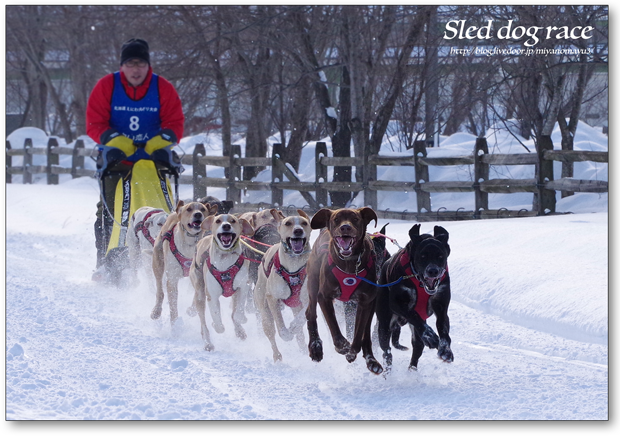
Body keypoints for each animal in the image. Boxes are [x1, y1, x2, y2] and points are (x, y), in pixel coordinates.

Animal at [190, 212, 256, 350]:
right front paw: (217, 326)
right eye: (218, 221)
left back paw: (239, 330)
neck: (225, 259)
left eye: (233, 221)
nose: (226, 226)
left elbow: (237, 313)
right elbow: (216, 317)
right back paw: (208, 343)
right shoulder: (212, 295)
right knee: (203, 323)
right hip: (200, 293)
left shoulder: (243, 287)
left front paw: (241, 321)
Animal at [253, 209, 312, 362]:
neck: (294, 268)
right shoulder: (272, 298)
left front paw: (293, 326)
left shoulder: (310, 299)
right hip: (264, 310)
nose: (298, 230)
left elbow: (301, 318)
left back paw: (304, 350)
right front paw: (286, 333)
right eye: (288, 223)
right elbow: (280, 324)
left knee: (300, 335)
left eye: (304, 223)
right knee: (271, 332)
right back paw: (277, 356)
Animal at [304, 208, 386, 374]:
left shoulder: (365, 301)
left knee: (366, 332)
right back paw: (315, 347)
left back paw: (371, 360)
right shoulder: (324, 297)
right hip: (313, 283)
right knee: (310, 312)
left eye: (355, 219)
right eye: (336, 219)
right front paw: (342, 346)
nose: (345, 227)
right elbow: (334, 326)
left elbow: (359, 332)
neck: (349, 265)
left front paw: (352, 352)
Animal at [376, 225, 452, 372]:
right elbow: (413, 315)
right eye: (422, 256)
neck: (420, 283)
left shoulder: (441, 304)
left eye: (441, 256)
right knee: (386, 350)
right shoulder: (397, 303)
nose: (433, 271)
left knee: (417, 347)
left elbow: (443, 327)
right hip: (384, 323)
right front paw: (431, 336)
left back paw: (412, 369)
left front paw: (446, 350)